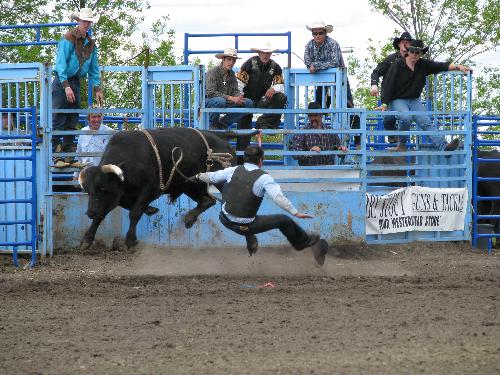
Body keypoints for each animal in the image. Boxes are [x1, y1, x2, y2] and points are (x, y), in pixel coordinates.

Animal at [79, 128, 256, 248]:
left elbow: (135, 212)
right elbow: (105, 214)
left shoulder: (150, 189)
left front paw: (130, 240)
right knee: (207, 200)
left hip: (223, 178)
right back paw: (189, 218)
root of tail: (222, 140)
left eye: (103, 188)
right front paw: (86, 239)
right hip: (190, 184)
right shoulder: (118, 196)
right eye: (88, 190)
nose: (89, 212)